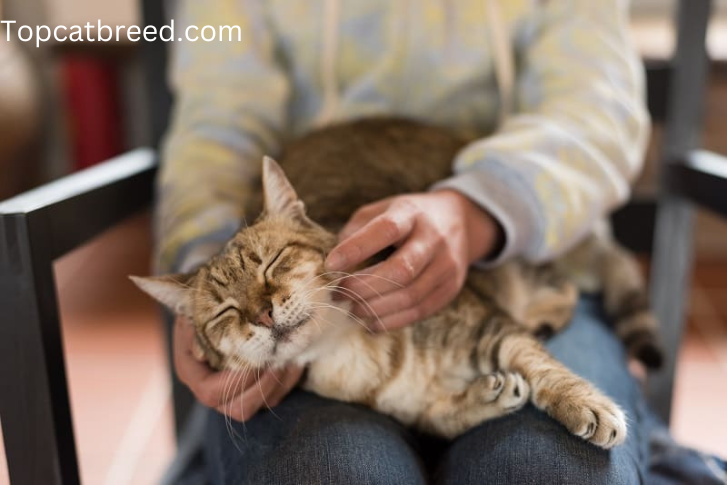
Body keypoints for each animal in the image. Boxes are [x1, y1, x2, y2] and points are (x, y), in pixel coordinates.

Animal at [131, 116, 660, 446]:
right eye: (226, 311)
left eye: (274, 263)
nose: (261, 314)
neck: (352, 354)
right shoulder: (412, 406)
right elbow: (440, 417)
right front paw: (482, 398)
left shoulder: (491, 327)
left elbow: (541, 366)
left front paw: (584, 403)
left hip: (526, 259)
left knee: (565, 285)